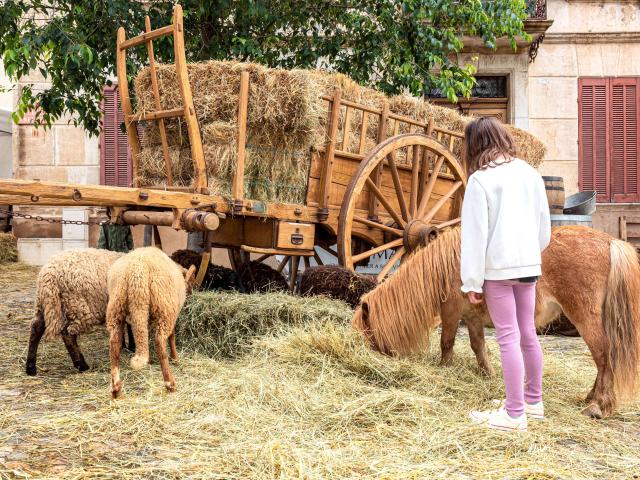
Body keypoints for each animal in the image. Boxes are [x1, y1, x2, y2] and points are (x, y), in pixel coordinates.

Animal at [356, 227, 640, 418]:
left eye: (368, 332)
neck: (444, 268)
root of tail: (610, 241)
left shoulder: (451, 313)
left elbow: (446, 343)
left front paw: (444, 371)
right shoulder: (471, 318)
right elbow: (478, 347)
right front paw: (489, 375)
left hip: (583, 316)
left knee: (603, 356)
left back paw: (597, 406)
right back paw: (591, 398)